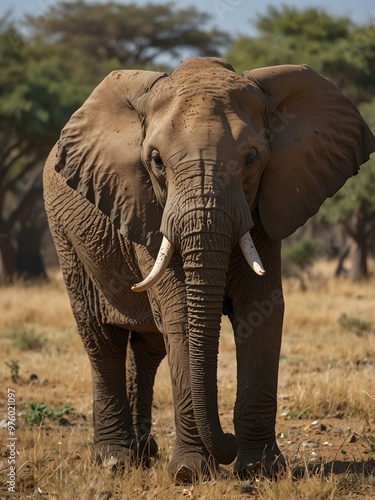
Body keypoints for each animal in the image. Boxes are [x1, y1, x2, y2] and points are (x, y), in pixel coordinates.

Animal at [42, 56, 374, 482]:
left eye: (251, 158)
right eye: (156, 161)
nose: (227, 442)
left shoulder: (266, 207)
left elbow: (263, 310)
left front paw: (261, 470)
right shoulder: (148, 208)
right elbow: (179, 313)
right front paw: (190, 473)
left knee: (147, 347)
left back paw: (144, 453)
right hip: (65, 237)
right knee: (102, 341)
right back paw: (115, 460)